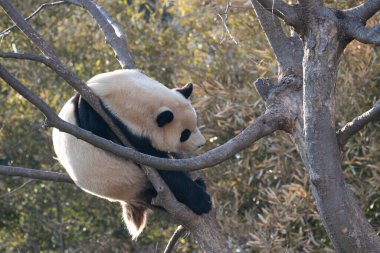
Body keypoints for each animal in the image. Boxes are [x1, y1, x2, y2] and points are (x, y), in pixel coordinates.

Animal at [50, 69, 212, 239]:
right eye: (185, 134)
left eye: (195, 123)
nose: (201, 143)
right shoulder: (109, 123)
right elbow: (159, 166)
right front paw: (203, 201)